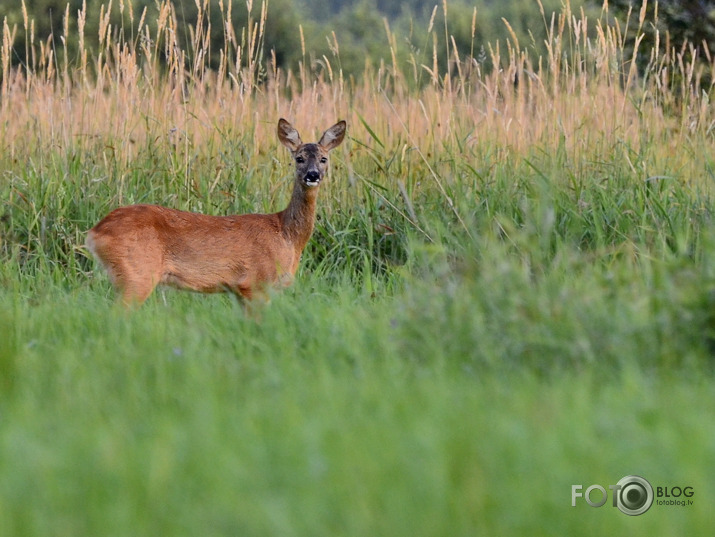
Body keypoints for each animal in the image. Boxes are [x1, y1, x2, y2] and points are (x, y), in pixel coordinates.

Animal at [85, 120, 348, 308]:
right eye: (299, 158)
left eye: (324, 159)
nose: (312, 175)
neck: (287, 235)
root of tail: (94, 233)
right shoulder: (255, 283)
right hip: (137, 274)